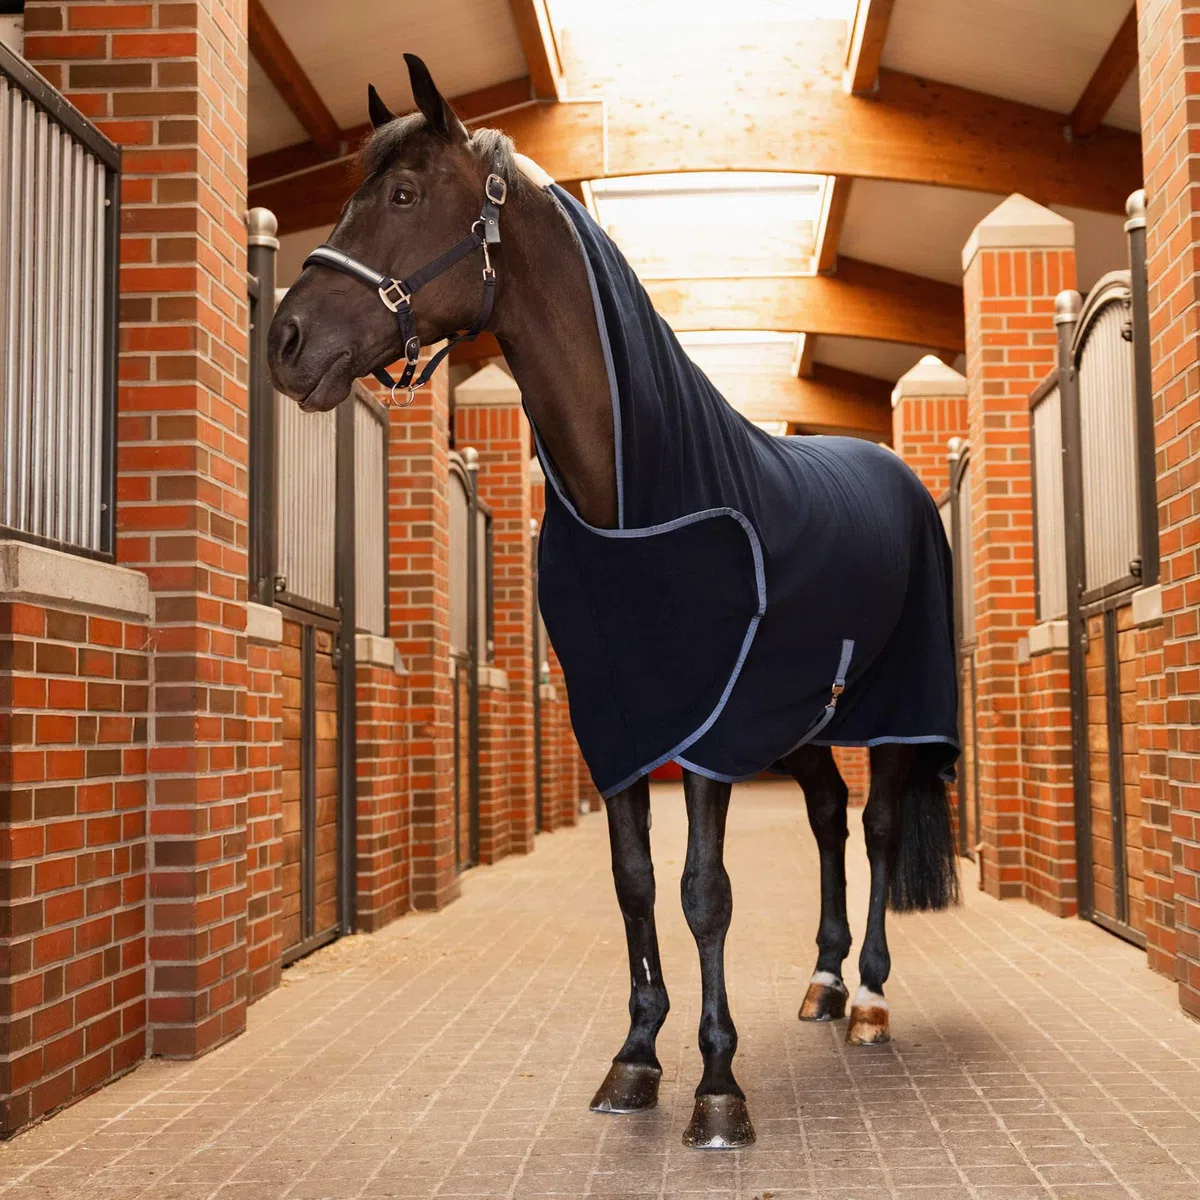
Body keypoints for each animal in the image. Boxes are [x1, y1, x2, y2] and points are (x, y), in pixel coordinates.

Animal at [267, 54, 960, 1151]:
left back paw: (872, 1000)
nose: (286, 341)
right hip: (805, 723)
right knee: (825, 819)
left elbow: (704, 893)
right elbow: (634, 885)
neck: (638, 498)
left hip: (893, 715)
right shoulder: (622, 723)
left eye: (405, 194)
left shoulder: (706, 728)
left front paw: (719, 1087)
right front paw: (636, 1059)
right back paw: (821, 982)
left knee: (882, 828)